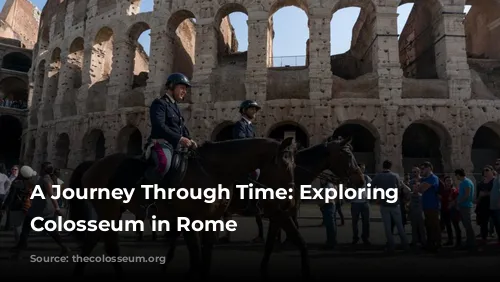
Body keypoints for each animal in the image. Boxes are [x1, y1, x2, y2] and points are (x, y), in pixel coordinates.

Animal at [69, 136, 298, 278]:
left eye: (294, 165)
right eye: (285, 164)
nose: (289, 200)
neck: (212, 170)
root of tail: (93, 164)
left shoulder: (210, 220)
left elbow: (206, 256)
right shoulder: (188, 220)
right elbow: (196, 256)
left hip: (113, 211)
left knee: (94, 241)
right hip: (108, 209)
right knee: (107, 244)